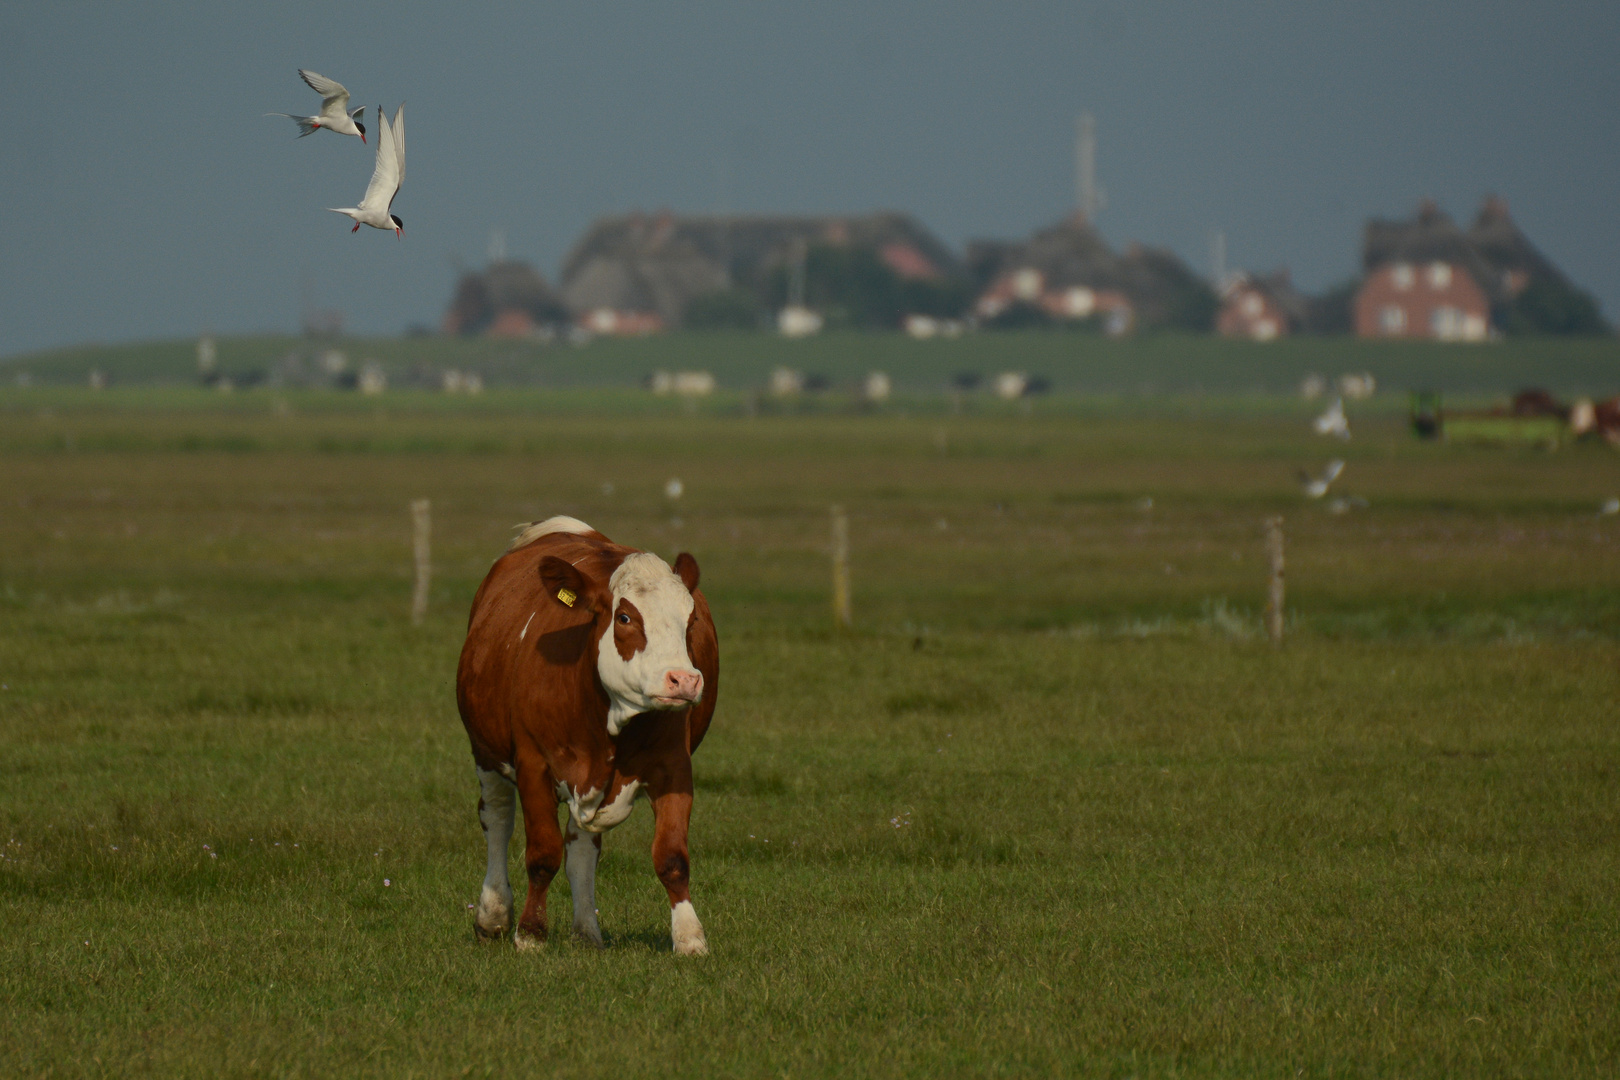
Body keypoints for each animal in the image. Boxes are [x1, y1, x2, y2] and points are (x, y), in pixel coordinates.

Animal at [450, 514, 716, 952]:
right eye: (625, 618)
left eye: (690, 620)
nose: (684, 680)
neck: (610, 722)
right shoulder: (533, 765)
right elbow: (542, 854)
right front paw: (530, 933)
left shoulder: (675, 766)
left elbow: (672, 857)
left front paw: (690, 938)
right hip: (486, 752)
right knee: (498, 818)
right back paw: (493, 914)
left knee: (581, 846)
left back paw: (586, 931)